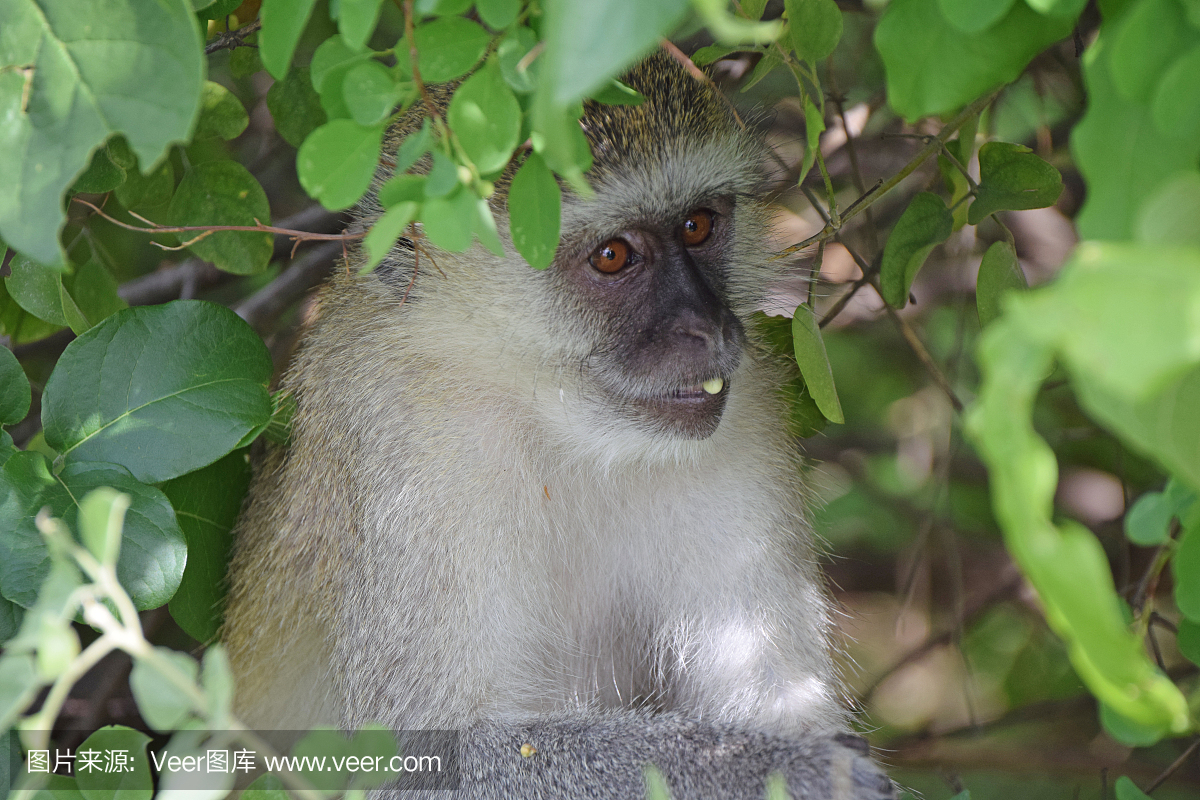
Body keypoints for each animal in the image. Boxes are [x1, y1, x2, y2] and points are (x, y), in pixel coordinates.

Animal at [223, 53, 892, 796]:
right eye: (613, 256)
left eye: (697, 225)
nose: (710, 328)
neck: (558, 421)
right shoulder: (407, 440)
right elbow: (426, 760)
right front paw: (786, 768)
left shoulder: (745, 422)